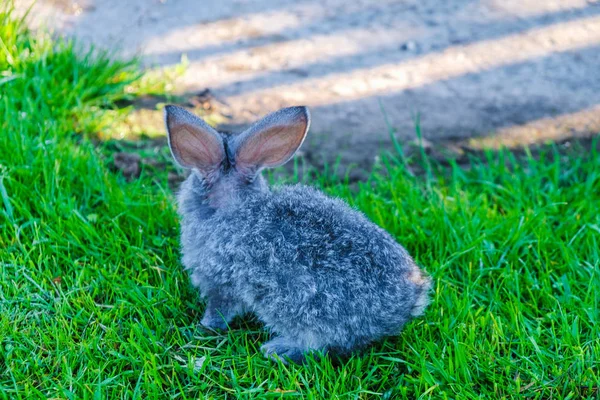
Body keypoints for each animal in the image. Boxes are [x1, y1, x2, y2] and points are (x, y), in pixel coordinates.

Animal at [165, 104, 432, 364]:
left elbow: (220, 308)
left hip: (300, 305)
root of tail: (405, 306)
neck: (233, 206)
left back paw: (278, 350)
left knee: (318, 346)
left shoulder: (221, 280)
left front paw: (204, 326)